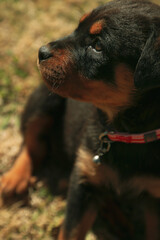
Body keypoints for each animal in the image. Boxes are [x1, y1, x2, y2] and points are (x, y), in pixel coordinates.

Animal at [0, 0, 160, 239]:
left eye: (98, 46)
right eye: (77, 28)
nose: (41, 51)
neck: (128, 131)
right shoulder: (82, 183)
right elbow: (71, 231)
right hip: (44, 98)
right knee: (32, 140)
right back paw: (14, 179)